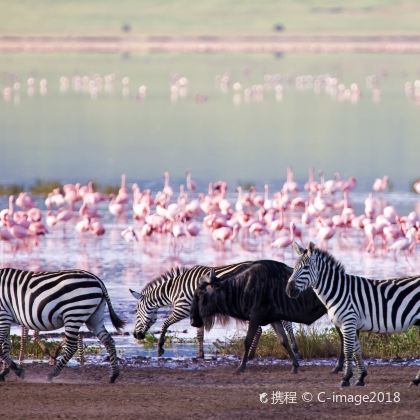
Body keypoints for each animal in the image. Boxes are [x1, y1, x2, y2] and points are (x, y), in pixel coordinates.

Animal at [129, 260, 302, 360]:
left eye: (136, 313)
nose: (136, 335)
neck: (173, 290)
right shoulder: (197, 313)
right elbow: (199, 335)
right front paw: (200, 355)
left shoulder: (182, 308)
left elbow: (165, 324)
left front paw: (160, 348)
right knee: (283, 324)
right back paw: (294, 349)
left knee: (263, 328)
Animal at [286, 243, 420, 388]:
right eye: (294, 268)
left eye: (305, 268)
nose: (289, 290)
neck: (338, 291)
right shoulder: (350, 324)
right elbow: (357, 351)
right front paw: (361, 377)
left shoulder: (348, 322)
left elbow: (348, 351)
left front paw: (346, 378)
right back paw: (416, 380)